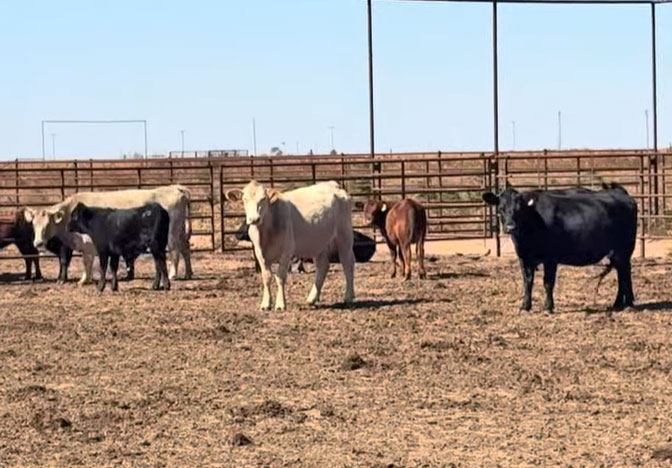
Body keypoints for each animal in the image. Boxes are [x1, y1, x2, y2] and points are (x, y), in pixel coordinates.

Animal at [24, 185, 192, 283]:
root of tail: (177, 188)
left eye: (47, 224)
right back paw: (188, 273)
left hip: (171, 232)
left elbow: (87, 261)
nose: (38, 243)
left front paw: (84, 280)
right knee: (185, 248)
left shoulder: (88, 243)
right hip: (181, 229)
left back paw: (173, 274)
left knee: (175, 249)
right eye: (33, 224)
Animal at [225, 180, 355, 310]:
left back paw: (349, 297)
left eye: (263, 199)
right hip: (318, 243)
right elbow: (266, 277)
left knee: (348, 263)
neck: (266, 233)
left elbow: (280, 276)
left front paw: (280, 304)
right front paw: (266, 303)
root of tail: (333, 184)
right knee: (322, 266)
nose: (254, 219)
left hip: (344, 235)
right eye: (245, 199)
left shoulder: (286, 252)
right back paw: (312, 298)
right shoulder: (259, 253)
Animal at [482, 183, 637, 312]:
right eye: (500, 209)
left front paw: (548, 307)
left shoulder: (550, 258)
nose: (510, 227)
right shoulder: (524, 258)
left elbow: (548, 282)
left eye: (519, 209)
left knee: (625, 274)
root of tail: (621, 193)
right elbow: (527, 282)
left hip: (623, 251)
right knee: (621, 273)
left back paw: (628, 304)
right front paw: (525, 306)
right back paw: (618, 304)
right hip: (617, 254)